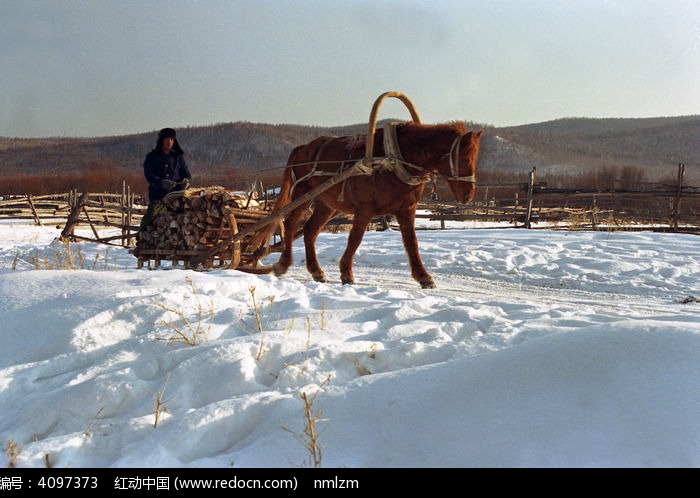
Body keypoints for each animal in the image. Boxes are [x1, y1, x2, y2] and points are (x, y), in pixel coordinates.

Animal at [249, 121, 484, 290]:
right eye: (464, 160)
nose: (468, 195)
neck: (395, 159)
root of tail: (302, 148)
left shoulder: (406, 210)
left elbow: (411, 243)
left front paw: (424, 277)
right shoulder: (365, 208)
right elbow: (355, 238)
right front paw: (346, 273)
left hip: (326, 203)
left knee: (309, 231)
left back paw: (316, 271)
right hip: (303, 194)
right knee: (290, 224)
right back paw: (283, 263)